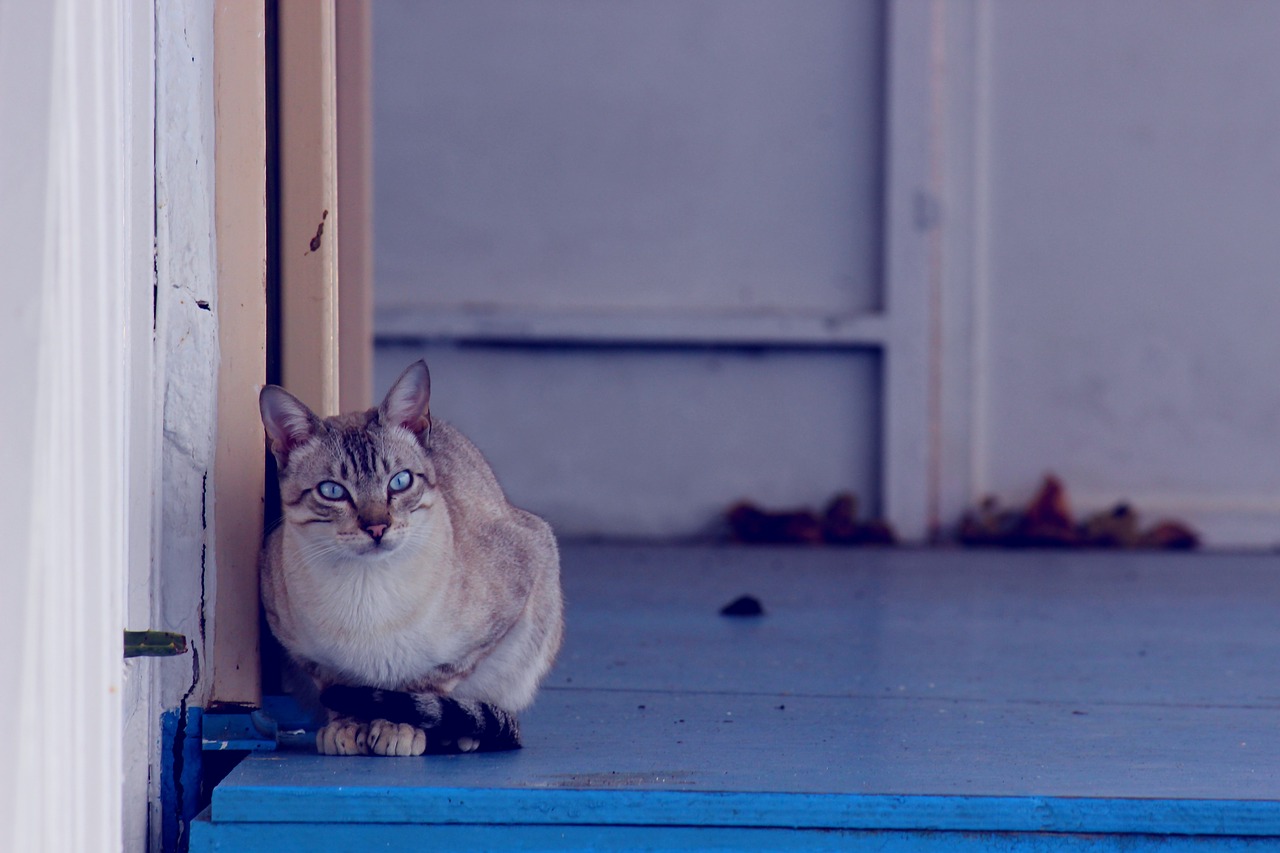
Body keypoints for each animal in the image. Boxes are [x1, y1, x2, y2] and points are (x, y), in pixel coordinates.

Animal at [257, 356, 563, 753]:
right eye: (332, 491)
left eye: (400, 482)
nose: (376, 527)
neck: (366, 593)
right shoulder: (301, 650)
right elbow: (339, 688)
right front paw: (347, 727)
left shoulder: (507, 600)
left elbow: (421, 686)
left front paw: (395, 728)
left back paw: (457, 734)